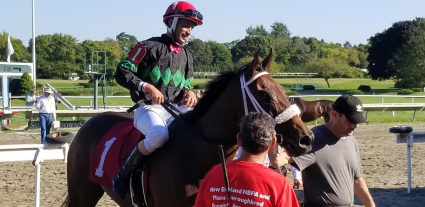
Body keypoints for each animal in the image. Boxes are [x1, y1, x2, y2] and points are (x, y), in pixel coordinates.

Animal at [62, 51, 314, 207]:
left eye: (283, 90)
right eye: (264, 95)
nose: (306, 139)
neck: (195, 153)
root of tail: (91, 121)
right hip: (82, 194)